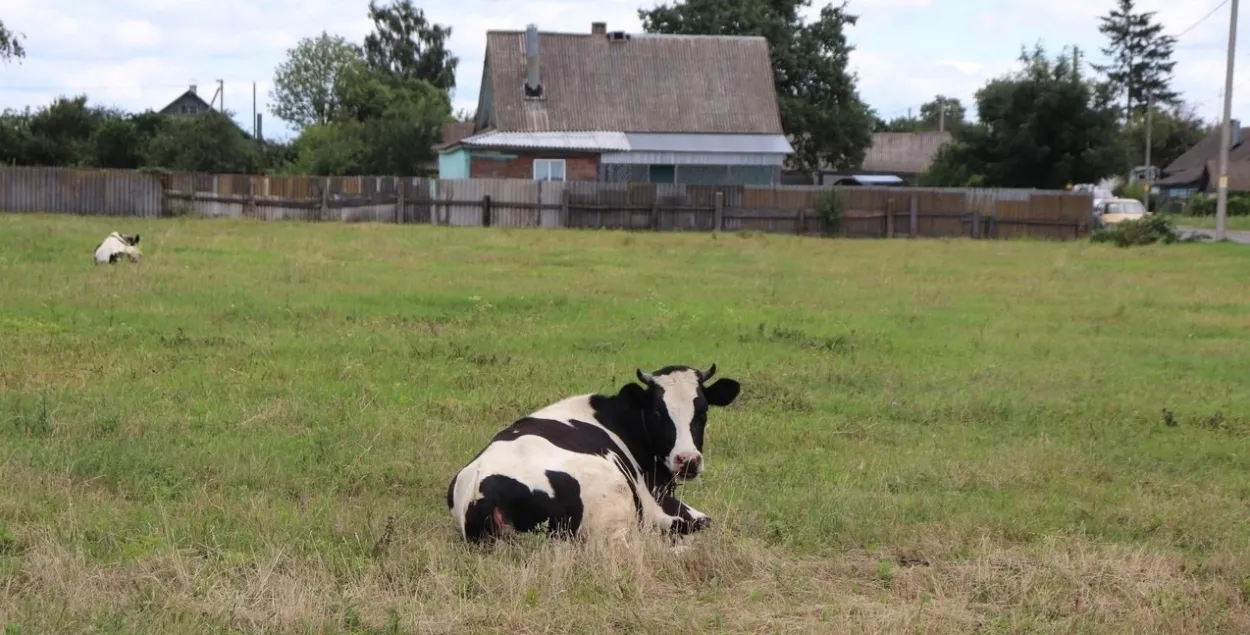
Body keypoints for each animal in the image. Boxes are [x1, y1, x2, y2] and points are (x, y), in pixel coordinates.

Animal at [450, 365, 740, 542]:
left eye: (702, 411)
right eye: (658, 412)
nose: (688, 461)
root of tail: (481, 493)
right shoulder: (655, 502)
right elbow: (705, 521)